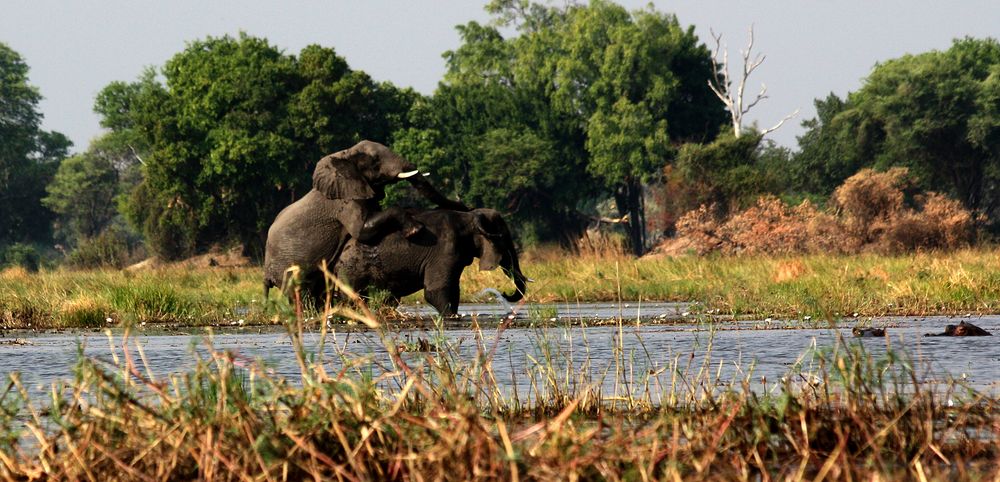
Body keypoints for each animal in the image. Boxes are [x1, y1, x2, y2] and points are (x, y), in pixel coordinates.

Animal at [266, 141, 468, 304]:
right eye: (375, 162)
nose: (464, 206)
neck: (345, 154)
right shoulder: (345, 202)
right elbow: (362, 230)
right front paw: (415, 230)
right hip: (286, 268)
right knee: (299, 293)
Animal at [334, 206, 532, 316]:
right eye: (504, 239)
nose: (504, 293)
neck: (468, 217)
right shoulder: (445, 249)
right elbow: (435, 291)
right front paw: (450, 317)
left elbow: (454, 290)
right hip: (351, 270)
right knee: (352, 298)